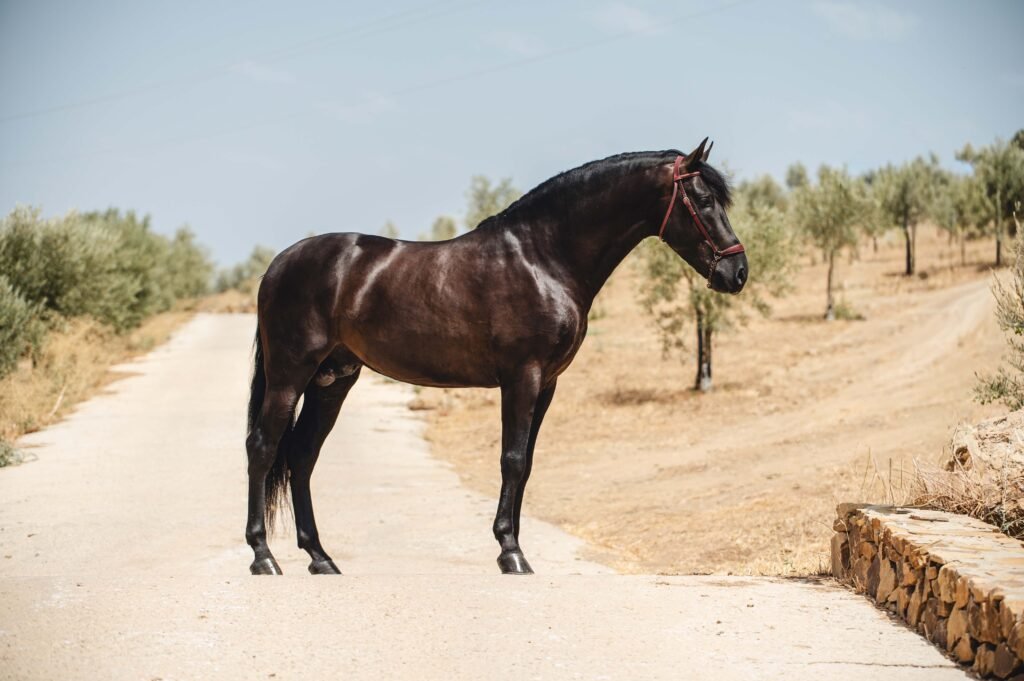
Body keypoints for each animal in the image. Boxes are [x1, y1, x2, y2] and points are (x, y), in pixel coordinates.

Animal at [244, 138, 747, 576]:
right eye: (703, 200)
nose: (737, 271)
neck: (543, 258)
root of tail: (278, 265)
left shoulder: (547, 383)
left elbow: (527, 464)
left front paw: (515, 546)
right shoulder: (522, 376)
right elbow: (512, 459)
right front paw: (511, 552)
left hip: (333, 380)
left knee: (302, 456)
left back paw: (320, 558)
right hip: (290, 375)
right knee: (263, 448)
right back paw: (263, 557)